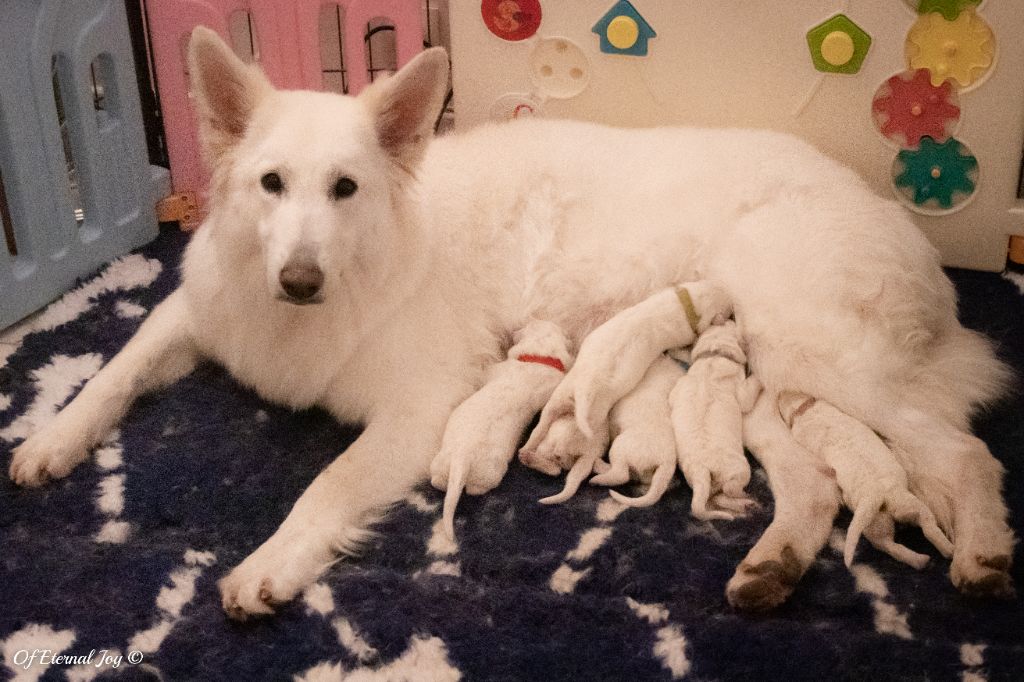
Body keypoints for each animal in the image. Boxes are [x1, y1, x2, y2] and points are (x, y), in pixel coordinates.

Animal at [524, 278, 733, 475]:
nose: (733, 311)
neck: (686, 303)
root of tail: (584, 387)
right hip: (594, 415)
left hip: (557, 398)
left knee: (540, 428)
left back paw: (529, 452)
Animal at [671, 319, 761, 520]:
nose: (729, 317)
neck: (712, 357)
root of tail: (703, 471)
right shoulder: (741, 390)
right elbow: (749, 393)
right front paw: (759, 376)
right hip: (739, 468)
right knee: (730, 489)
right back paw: (746, 497)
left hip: (704, 481)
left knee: (718, 498)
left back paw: (746, 505)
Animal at [778, 391, 954, 565]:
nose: (779, 394)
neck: (804, 409)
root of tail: (878, 495)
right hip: (900, 508)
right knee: (923, 527)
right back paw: (936, 554)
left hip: (874, 523)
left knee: (887, 544)